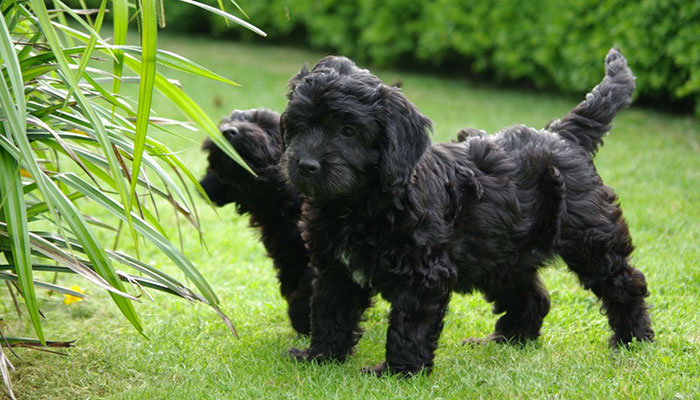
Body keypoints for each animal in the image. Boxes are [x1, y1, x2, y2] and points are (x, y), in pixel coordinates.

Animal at [282, 48, 652, 376]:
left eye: (347, 130)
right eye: (299, 125)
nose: (306, 165)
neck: (359, 203)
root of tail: (562, 135)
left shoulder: (425, 274)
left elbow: (410, 325)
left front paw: (399, 372)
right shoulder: (336, 269)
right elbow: (331, 311)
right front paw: (320, 356)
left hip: (590, 237)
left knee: (625, 283)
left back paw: (633, 340)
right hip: (502, 251)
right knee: (532, 295)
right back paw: (507, 340)